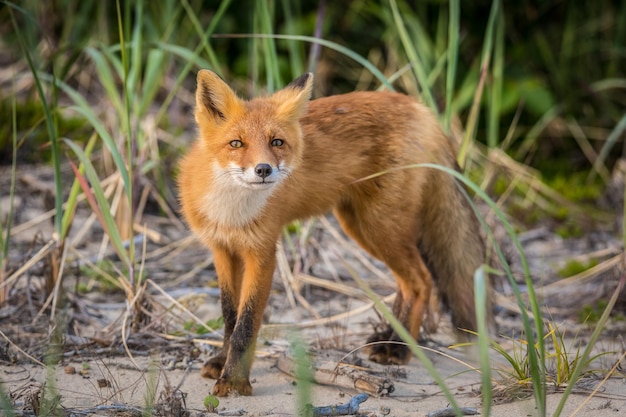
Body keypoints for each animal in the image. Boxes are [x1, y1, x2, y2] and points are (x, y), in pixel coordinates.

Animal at [176, 70, 488, 394]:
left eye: (277, 142)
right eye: (236, 143)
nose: (263, 170)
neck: (232, 213)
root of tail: (418, 106)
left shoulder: (262, 253)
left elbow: (246, 325)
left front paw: (234, 382)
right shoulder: (222, 250)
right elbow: (229, 317)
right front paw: (221, 362)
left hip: (381, 227)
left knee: (422, 282)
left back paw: (399, 348)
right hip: (362, 227)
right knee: (407, 285)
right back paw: (388, 337)